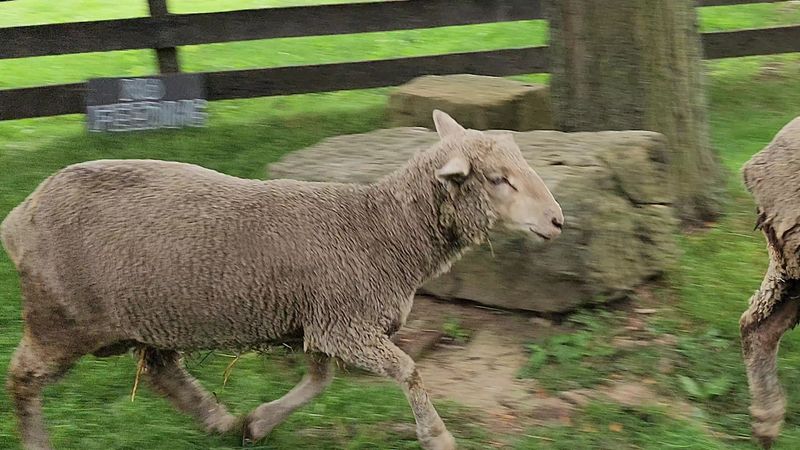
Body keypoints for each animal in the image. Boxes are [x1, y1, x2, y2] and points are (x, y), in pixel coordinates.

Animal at [1, 110, 564, 450]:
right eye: (499, 180)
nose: (558, 221)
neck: (381, 230)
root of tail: (20, 215)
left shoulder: (323, 320)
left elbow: (320, 381)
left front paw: (260, 422)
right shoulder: (346, 323)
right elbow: (408, 372)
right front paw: (437, 436)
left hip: (153, 313)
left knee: (163, 372)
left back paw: (220, 420)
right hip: (58, 317)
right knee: (22, 376)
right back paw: (35, 440)